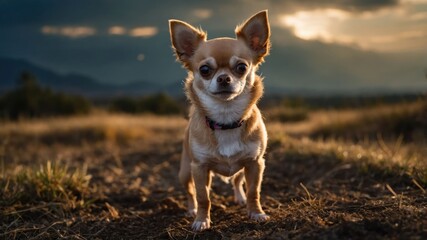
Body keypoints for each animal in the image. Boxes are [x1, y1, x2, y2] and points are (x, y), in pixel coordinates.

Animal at [170, 9, 270, 231]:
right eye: (205, 70)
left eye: (241, 67)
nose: (224, 78)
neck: (226, 119)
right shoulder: (199, 168)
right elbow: (203, 197)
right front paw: (201, 220)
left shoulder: (255, 163)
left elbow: (254, 192)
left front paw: (256, 213)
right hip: (185, 171)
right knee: (190, 192)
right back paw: (191, 210)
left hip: (242, 167)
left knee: (237, 182)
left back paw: (240, 198)